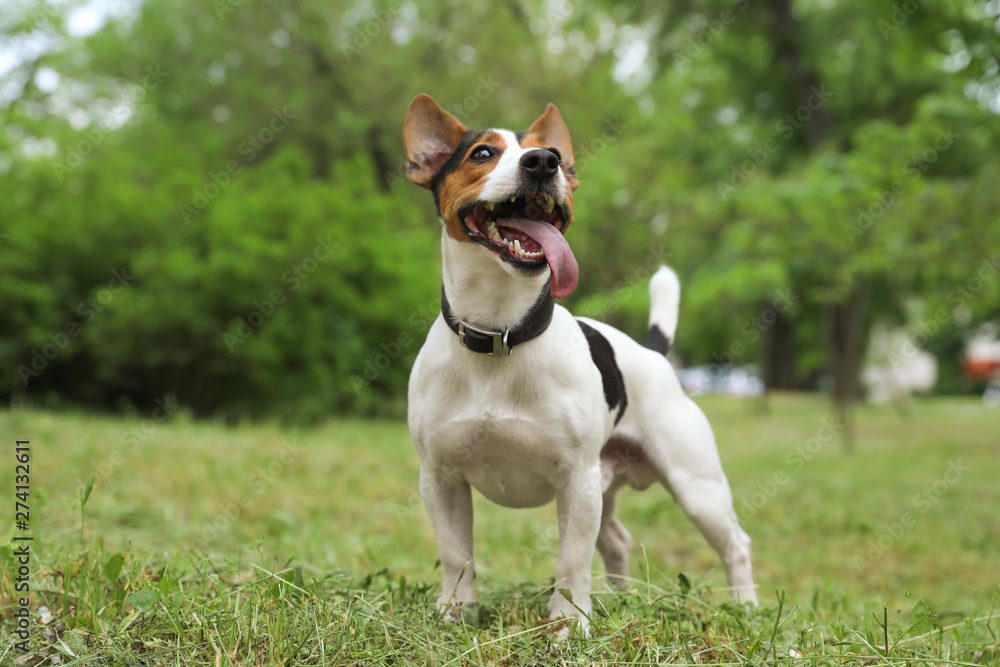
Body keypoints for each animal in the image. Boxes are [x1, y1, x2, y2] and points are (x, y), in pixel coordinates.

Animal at [402, 92, 752, 632]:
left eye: (557, 158)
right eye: (481, 153)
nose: (543, 162)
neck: (502, 334)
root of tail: (653, 353)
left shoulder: (577, 480)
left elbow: (572, 560)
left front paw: (568, 623)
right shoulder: (441, 479)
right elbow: (457, 555)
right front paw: (454, 613)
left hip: (696, 489)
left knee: (736, 543)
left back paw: (747, 607)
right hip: (613, 486)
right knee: (618, 540)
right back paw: (620, 597)